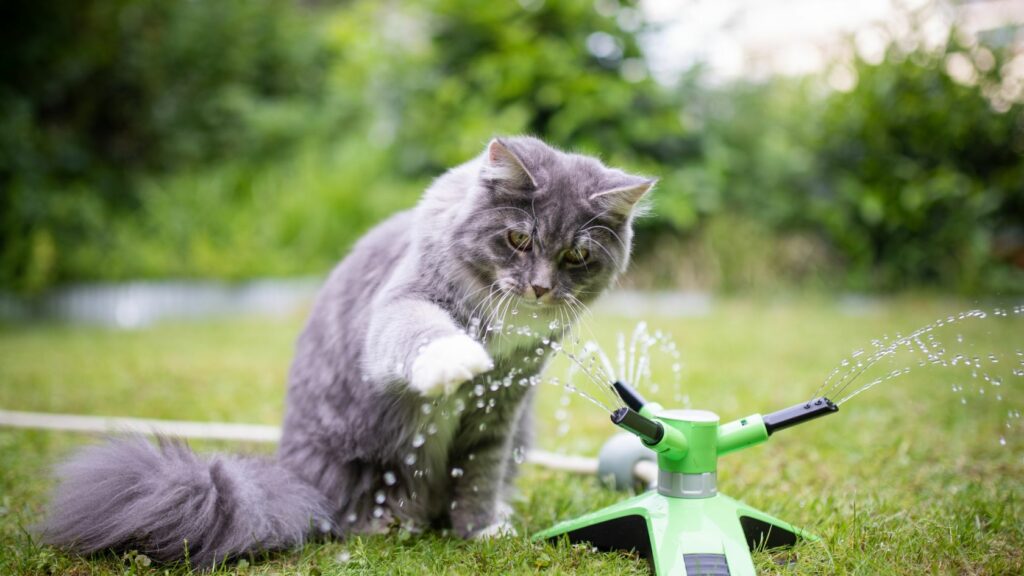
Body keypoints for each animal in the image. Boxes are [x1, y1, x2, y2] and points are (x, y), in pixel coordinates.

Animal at [39, 136, 651, 565]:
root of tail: (290, 480)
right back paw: (389, 524)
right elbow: (422, 331)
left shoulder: (502, 407)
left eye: (576, 256)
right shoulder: (402, 305)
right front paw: (456, 358)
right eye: (519, 239)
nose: (541, 288)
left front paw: (481, 530)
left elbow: (477, 473)